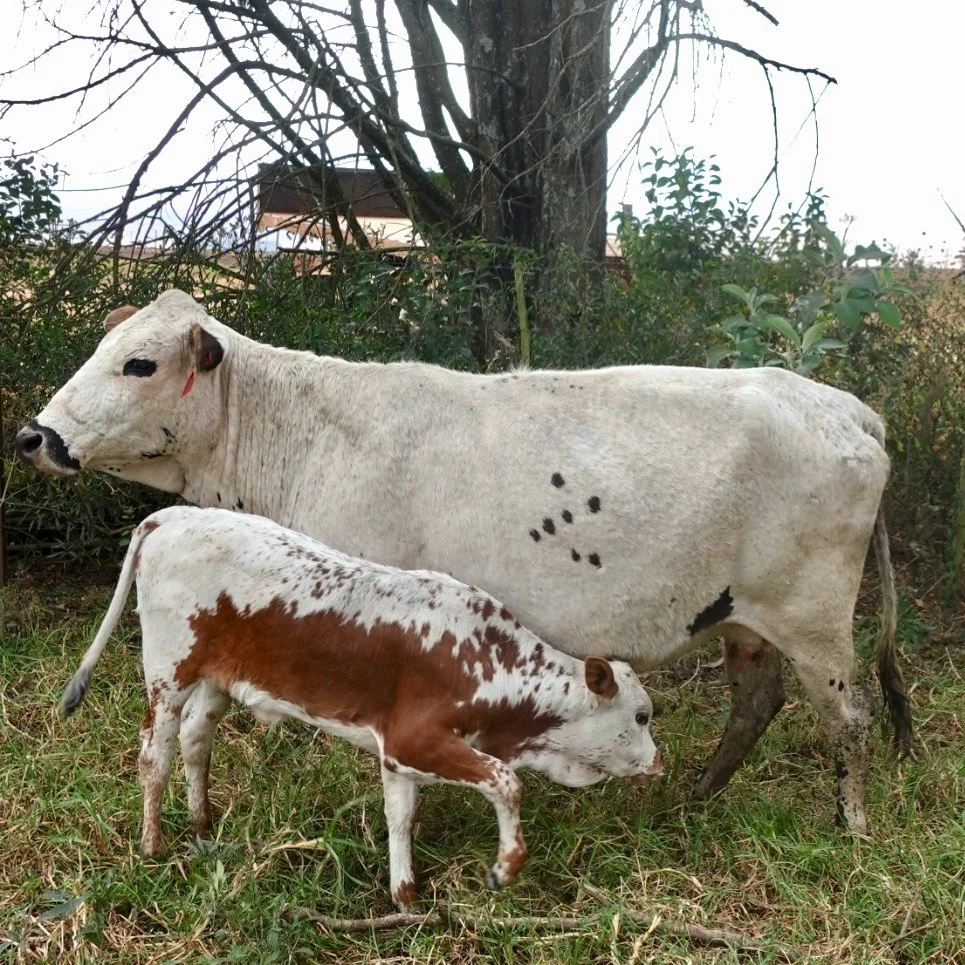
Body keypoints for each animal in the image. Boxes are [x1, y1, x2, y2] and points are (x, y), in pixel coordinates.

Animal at [18, 289, 911, 832]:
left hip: (814, 618)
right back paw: (696, 794)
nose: (34, 435)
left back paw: (852, 821)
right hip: (744, 618)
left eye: (138, 362)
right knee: (757, 702)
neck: (295, 428)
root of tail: (845, 407)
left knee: (850, 716)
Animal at [59, 506, 663, 908]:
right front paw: (505, 868)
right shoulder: (417, 738)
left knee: (195, 737)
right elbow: (506, 782)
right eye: (641, 716)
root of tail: (168, 516)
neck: (490, 662)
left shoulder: (398, 752)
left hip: (219, 679)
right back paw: (153, 844)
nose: (658, 764)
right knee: (153, 753)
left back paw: (202, 822)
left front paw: (406, 896)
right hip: (169, 670)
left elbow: (402, 816)